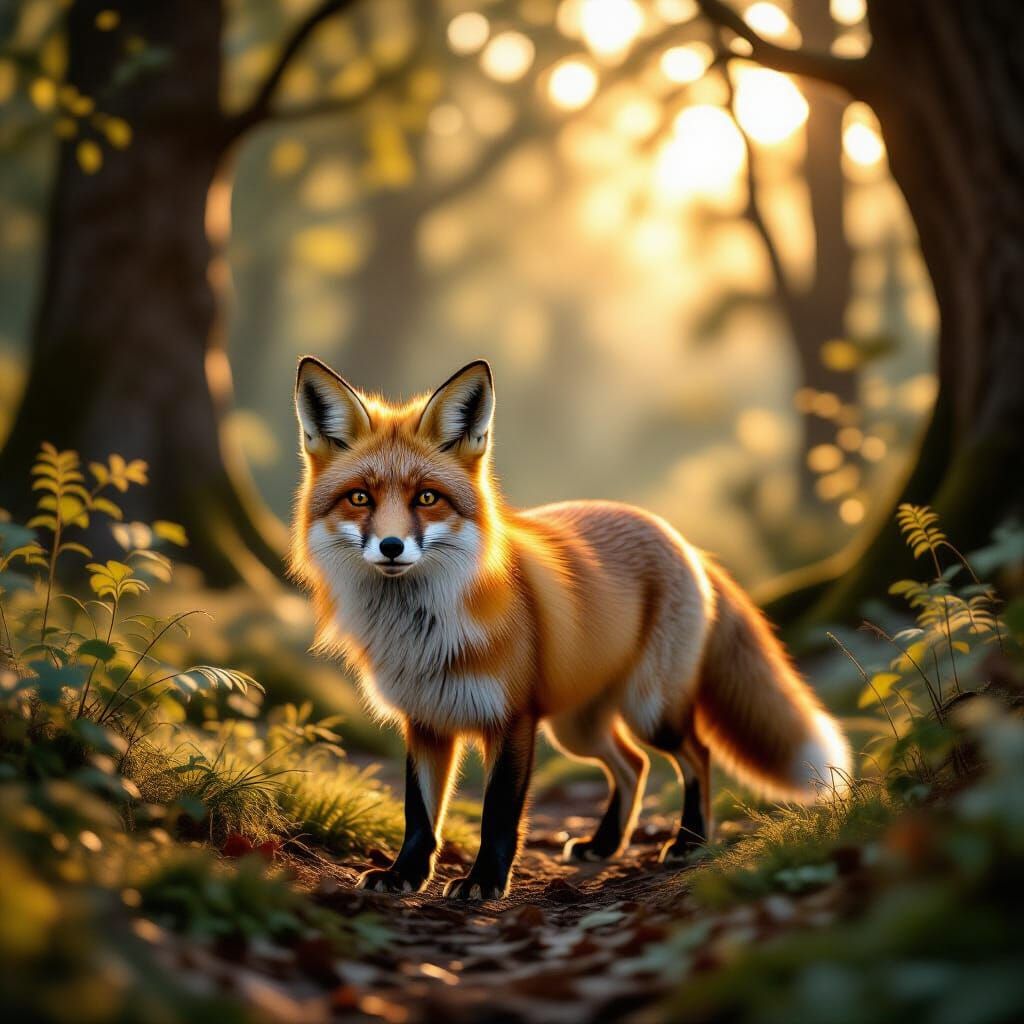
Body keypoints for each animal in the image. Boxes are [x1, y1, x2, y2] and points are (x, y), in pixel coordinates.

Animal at [291, 356, 851, 900]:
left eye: (427, 499)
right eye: (360, 498)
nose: (391, 547)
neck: (422, 628)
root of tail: (679, 537)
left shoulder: (512, 718)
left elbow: (499, 813)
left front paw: (484, 882)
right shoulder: (425, 721)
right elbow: (419, 814)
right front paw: (404, 874)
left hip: (649, 711)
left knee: (697, 754)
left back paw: (689, 841)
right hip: (577, 728)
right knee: (633, 765)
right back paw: (604, 844)